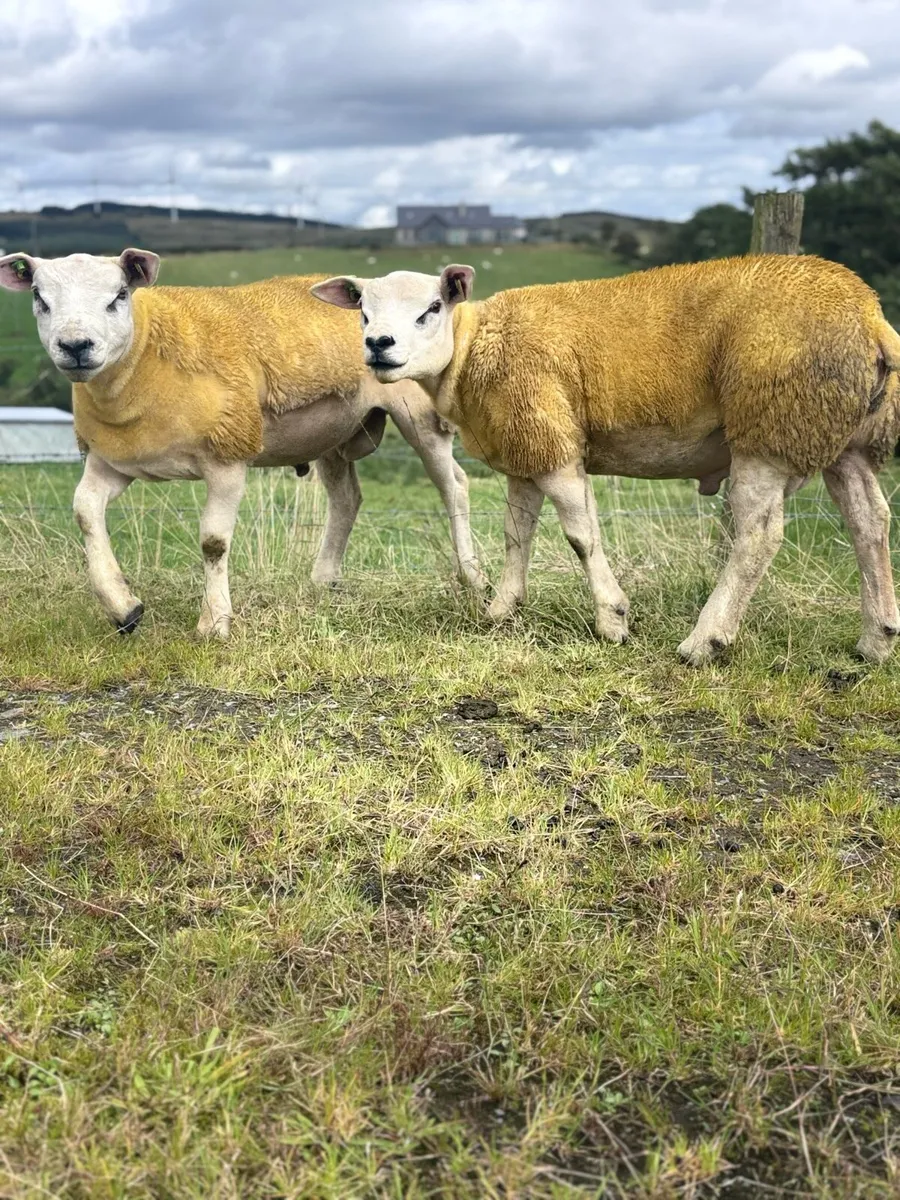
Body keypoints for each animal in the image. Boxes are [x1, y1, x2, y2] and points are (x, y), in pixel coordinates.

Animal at [0, 249, 486, 638]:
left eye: (119, 295)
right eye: (40, 298)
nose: (75, 346)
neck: (146, 356)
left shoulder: (229, 455)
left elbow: (213, 542)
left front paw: (213, 623)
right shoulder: (112, 459)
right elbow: (84, 512)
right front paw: (123, 608)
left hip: (418, 414)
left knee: (454, 486)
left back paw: (473, 577)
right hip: (333, 431)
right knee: (347, 499)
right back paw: (322, 580)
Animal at [312, 255, 900, 664]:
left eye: (431, 309)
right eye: (363, 312)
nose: (378, 344)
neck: (472, 346)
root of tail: (873, 319)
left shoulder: (553, 444)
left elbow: (581, 536)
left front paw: (612, 620)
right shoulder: (529, 441)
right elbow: (516, 533)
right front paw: (502, 609)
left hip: (770, 427)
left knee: (759, 535)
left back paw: (704, 641)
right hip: (843, 439)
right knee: (869, 521)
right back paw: (876, 639)